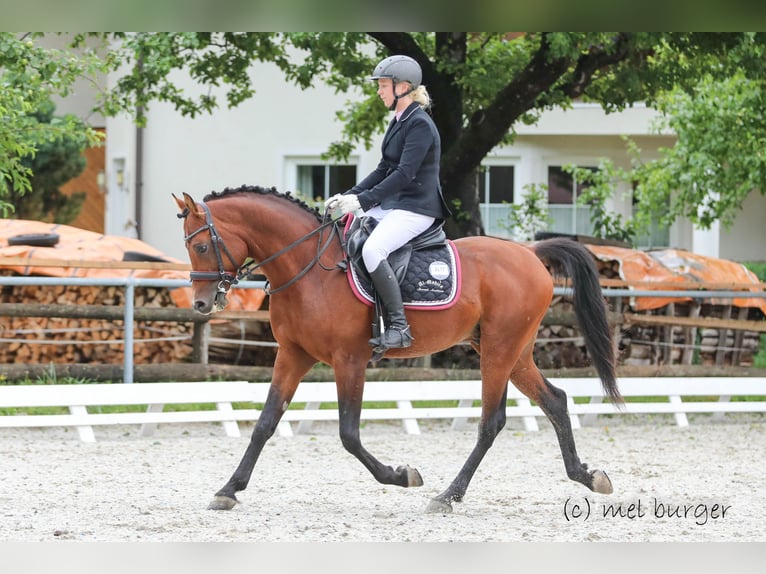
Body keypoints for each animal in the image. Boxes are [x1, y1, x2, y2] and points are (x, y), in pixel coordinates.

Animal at [173, 185, 623, 513]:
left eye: (201, 246)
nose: (201, 304)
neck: (307, 269)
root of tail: (529, 253)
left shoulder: (349, 361)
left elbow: (348, 434)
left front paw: (401, 475)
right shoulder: (292, 355)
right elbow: (265, 423)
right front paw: (229, 489)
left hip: (499, 350)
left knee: (491, 422)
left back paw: (448, 495)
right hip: (514, 352)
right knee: (556, 400)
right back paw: (588, 476)